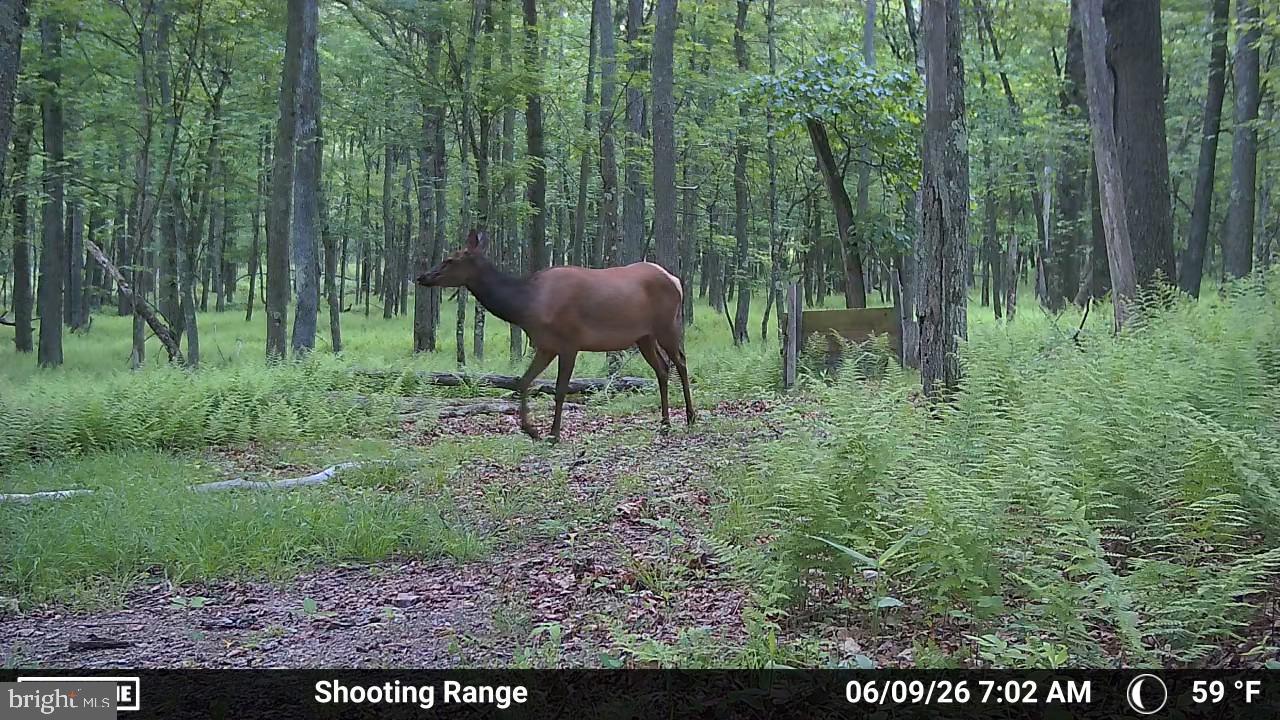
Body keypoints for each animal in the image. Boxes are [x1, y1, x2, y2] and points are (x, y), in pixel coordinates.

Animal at [416, 230, 695, 442]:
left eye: (450, 259)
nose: (423, 277)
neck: (526, 306)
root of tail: (676, 281)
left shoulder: (569, 342)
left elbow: (560, 389)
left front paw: (553, 433)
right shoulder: (546, 345)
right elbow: (523, 382)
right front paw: (531, 430)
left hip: (667, 326)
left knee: (681, 362)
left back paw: (690, 417)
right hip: (644, 336)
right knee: (662, 368)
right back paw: (665, 423)